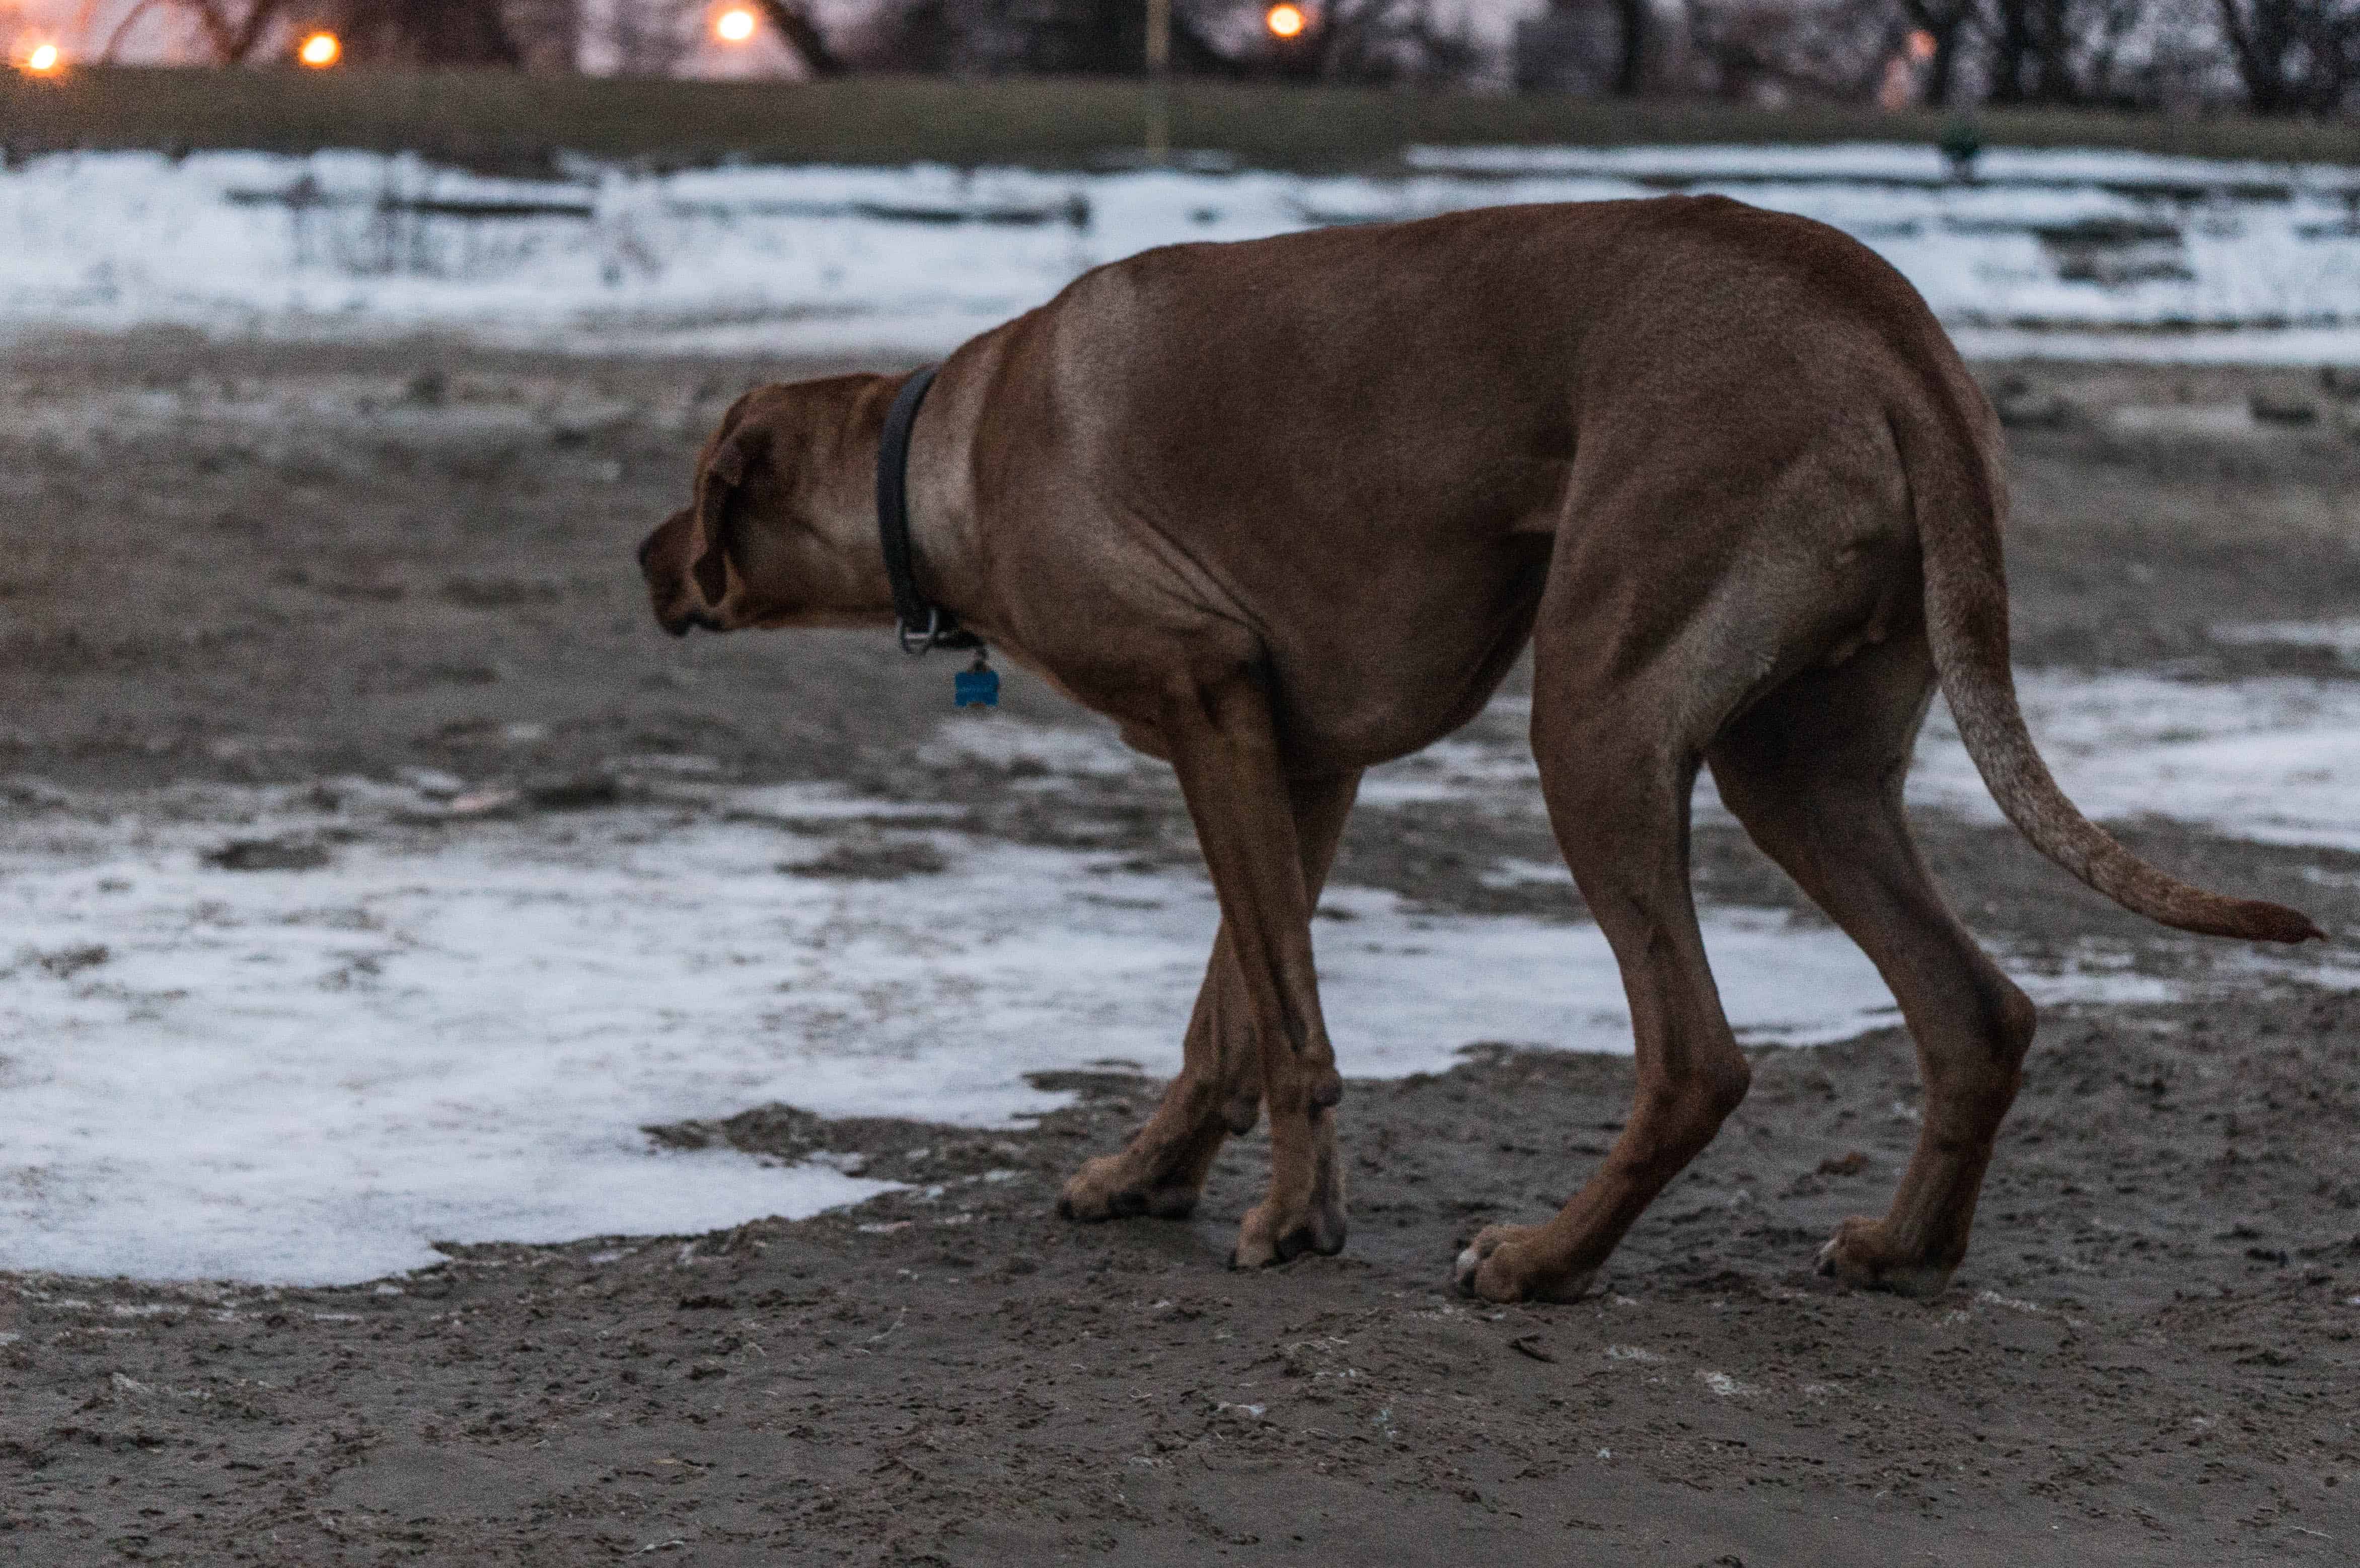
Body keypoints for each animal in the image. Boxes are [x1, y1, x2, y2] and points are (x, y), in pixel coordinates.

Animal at [637, 196, 2313, 1294]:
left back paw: (1544, 1261)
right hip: (1804, 769)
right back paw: (1906, 1249)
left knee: (1696, 1054)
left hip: (1594, 714)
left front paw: (1290, 1222)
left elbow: (1285, 1022)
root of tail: (1880, 321)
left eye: (696, 496)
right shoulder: (1285, 751)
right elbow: (1229, 1012)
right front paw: (1154, 1174)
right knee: (1975, 1010)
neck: (956, 445)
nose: (643, 561)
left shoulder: (1205, 700)